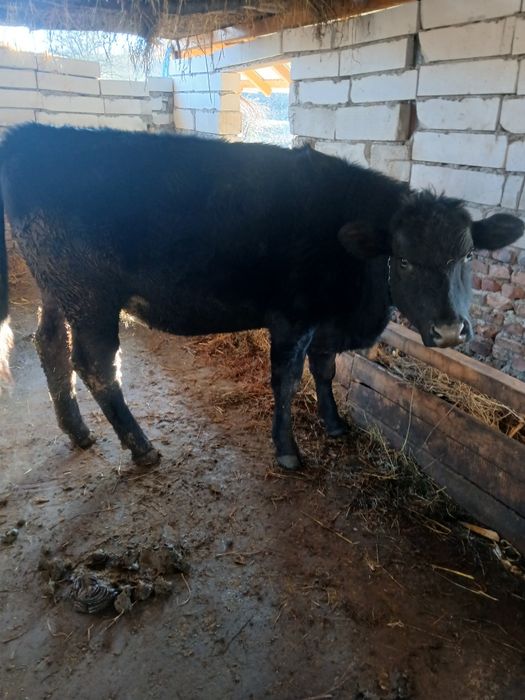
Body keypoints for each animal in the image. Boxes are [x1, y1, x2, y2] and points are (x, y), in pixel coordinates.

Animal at [0, 124, 522, 470]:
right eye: (405, 259)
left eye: (468, 255)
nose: (451, 330)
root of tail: (31, 135)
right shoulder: (294, 317)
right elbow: (288, 381)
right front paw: (288, 451)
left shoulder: (324, 320)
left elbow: (325, 371)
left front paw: (334, 425)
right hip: (91, 298)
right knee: (95, 366)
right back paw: (141, 447)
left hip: (57, 289)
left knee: (49, 346)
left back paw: (78, 431)